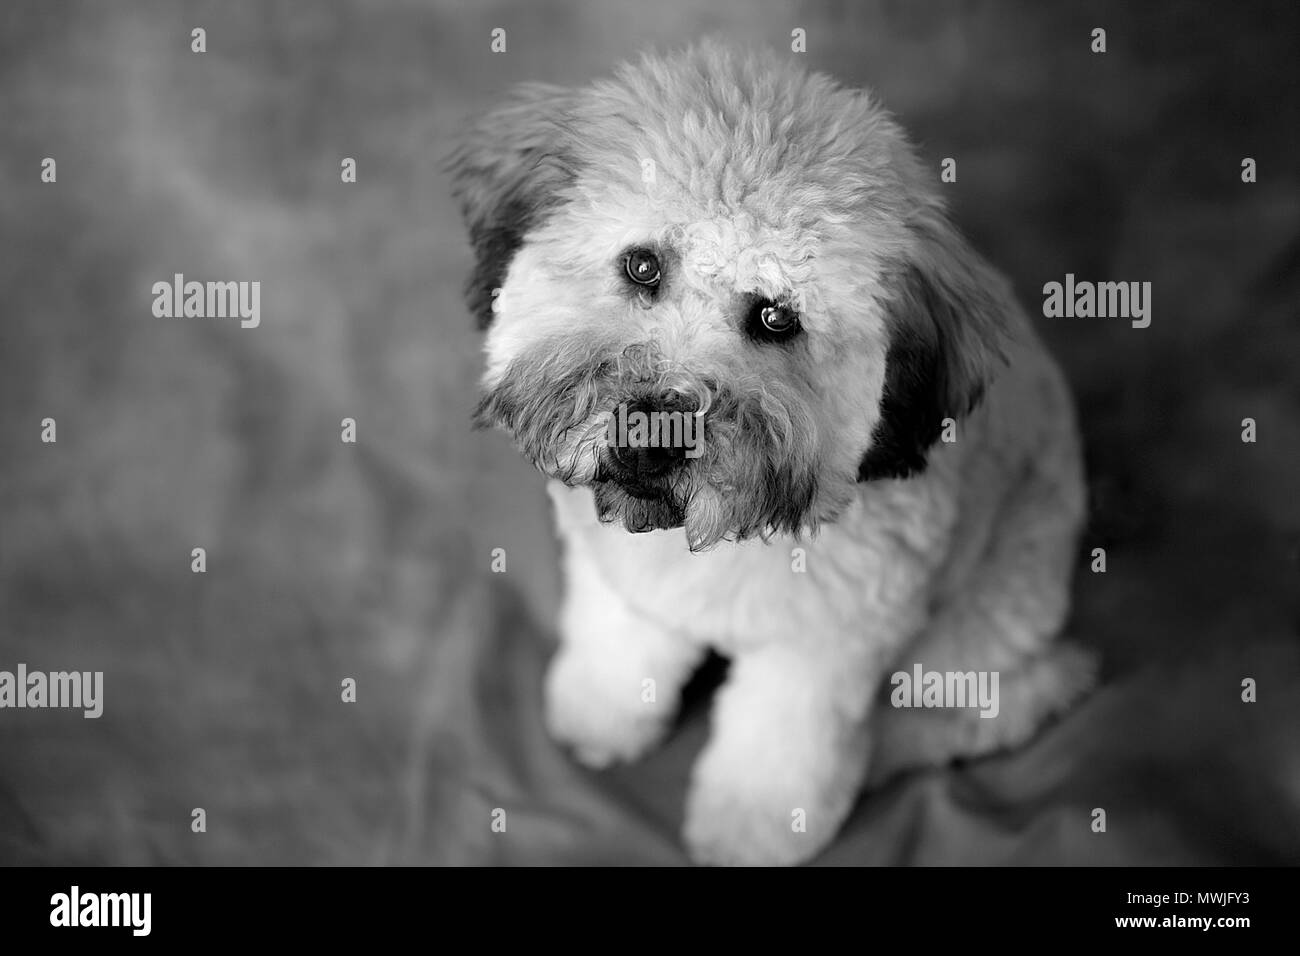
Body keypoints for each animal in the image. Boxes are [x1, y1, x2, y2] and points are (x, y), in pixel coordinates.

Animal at [449, 42, 1097, 868]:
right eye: (642, 266)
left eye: (775, 318)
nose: (651, 436)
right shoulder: (619, 577)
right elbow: (620, 639)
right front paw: (600, 712)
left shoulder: (825, 645)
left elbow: (779, 747)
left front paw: (753, 827)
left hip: (980, 620)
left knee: (978, 711)